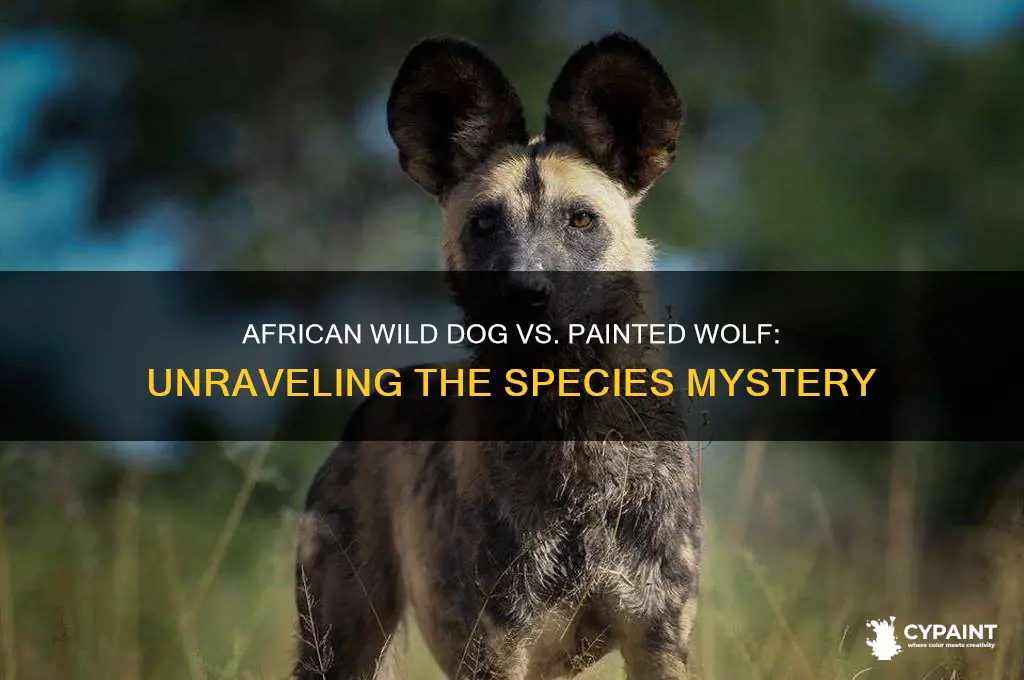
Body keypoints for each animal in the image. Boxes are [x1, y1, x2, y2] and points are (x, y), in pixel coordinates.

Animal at [293, 33, 702, 679]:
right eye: (484, 223)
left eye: (580, 219)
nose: (524, 293)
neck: (572, 441)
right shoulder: (495, 646)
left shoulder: (658, 638)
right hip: (339, 643)